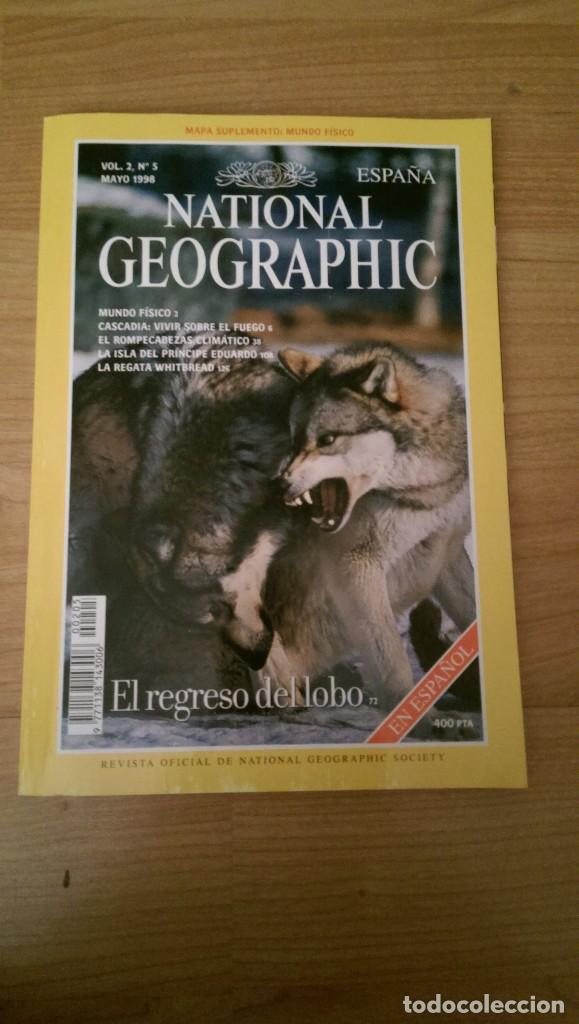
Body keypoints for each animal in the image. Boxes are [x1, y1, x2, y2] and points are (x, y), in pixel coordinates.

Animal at [270, 341, 476, 704]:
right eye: (295, 440)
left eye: (327, 440)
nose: (279, 485)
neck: (419, 494)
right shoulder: (356, 566)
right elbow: (393, 662)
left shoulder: (446, 554)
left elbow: (472, 611)